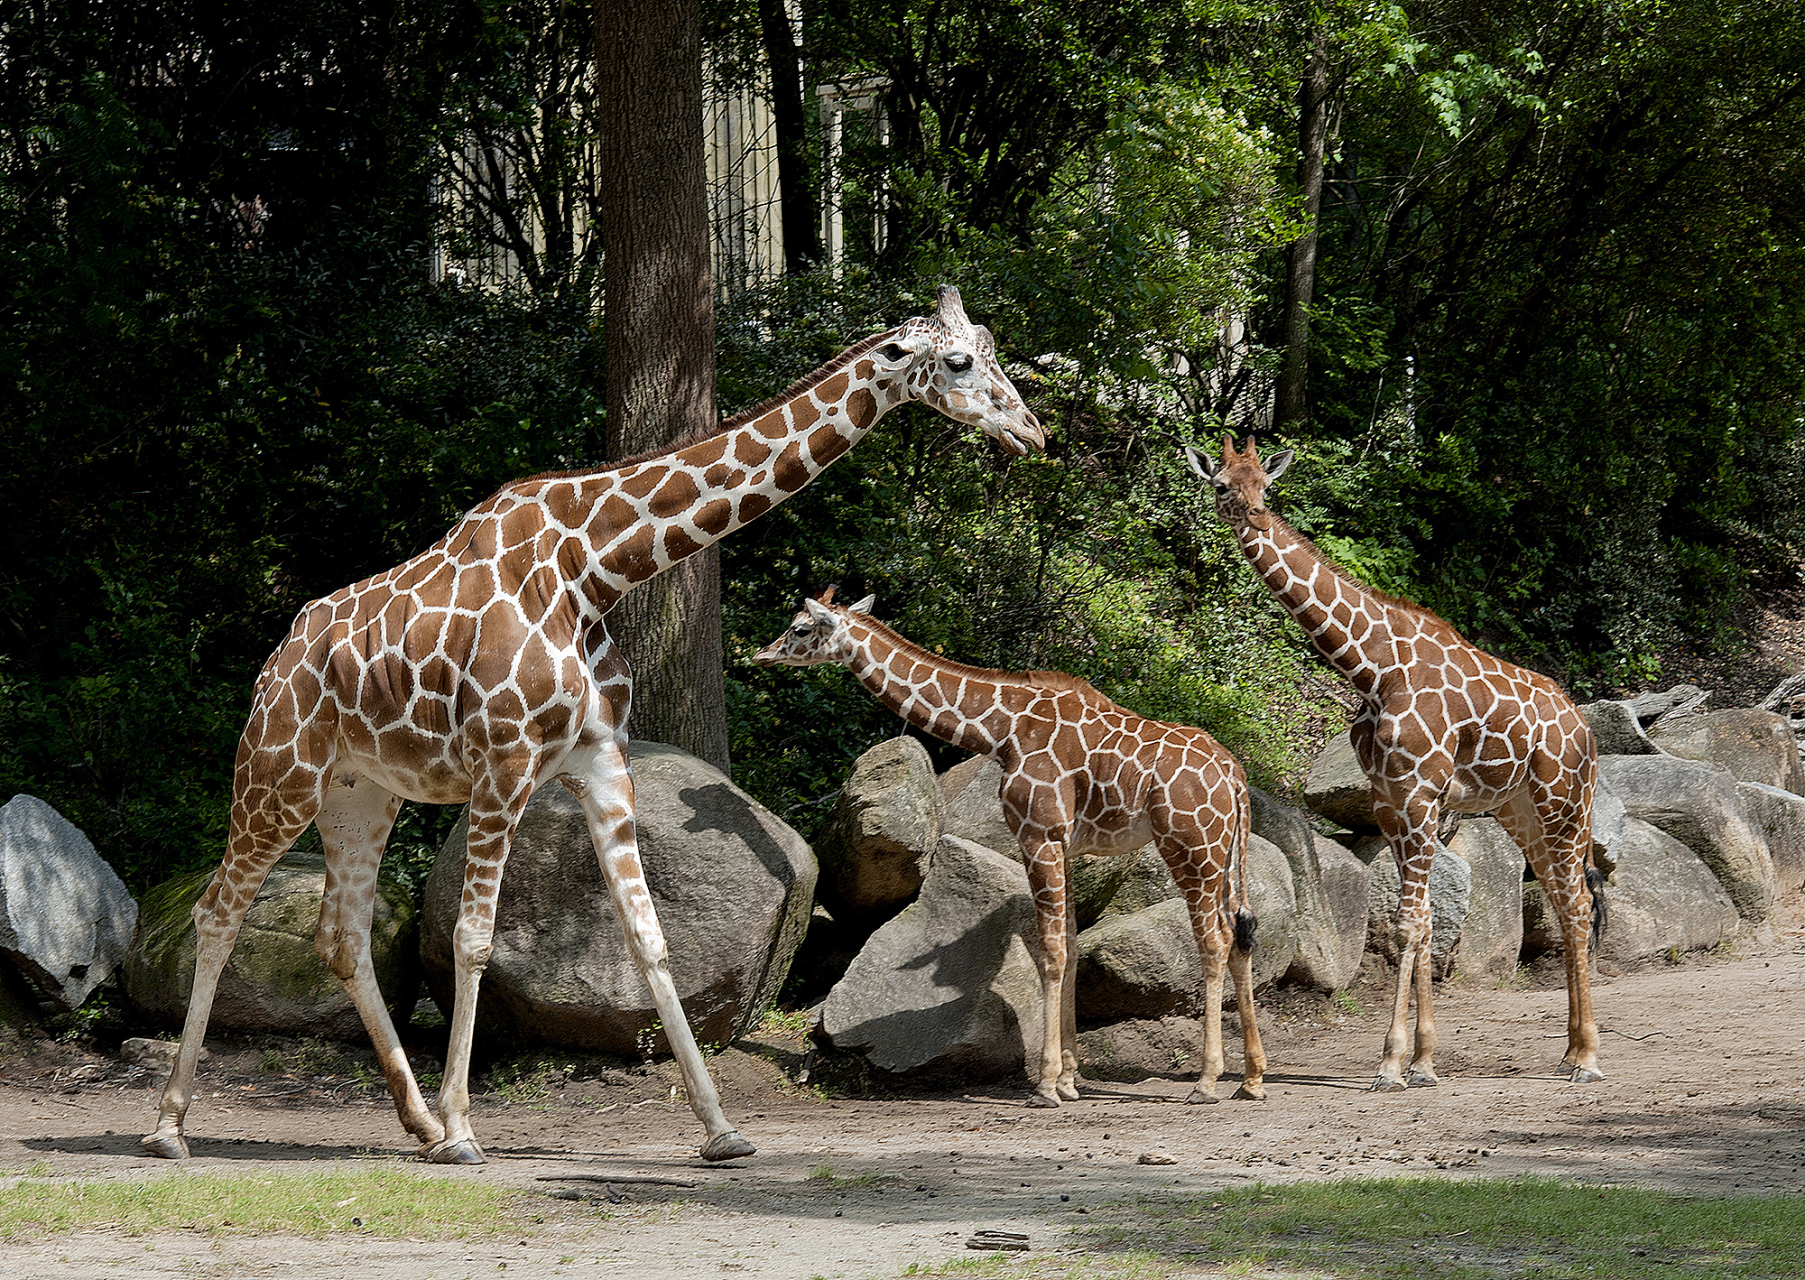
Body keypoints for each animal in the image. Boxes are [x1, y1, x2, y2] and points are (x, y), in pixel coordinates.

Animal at [140, 285, 1046, 1162]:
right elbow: (473, 938)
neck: (596, 570)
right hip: (278, 772)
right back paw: (173, 1126)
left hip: (361, 793)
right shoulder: (503, 763)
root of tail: (279, 656)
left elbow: (649, 938)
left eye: (995, 347)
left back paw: (414, 1124)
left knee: (341, 933)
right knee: (218, 910)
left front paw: (720, 1130)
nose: (1029, 430)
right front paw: (466, 1132)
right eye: (959, 362)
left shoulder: (601, 761)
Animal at [750, 584, 1270, 1104]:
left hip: (1189, 846)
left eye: (800, 628)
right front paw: (1069, 1079)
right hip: (1226, 852)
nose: (762, 654)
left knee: (1215, 939)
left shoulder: (1037, 834)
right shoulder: (1067, 845)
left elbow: (1051, 952)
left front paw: (1046, 1084)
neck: (1001, 730)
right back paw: (1252, 1079)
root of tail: (1234, 775)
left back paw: (1207, 1081)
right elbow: (1071, 947)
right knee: (1241, 932)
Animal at [1191, 436, 1602, 1090]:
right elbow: (1427, 920)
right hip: (1521, 810)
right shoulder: (1390, 800)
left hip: (1563, 801)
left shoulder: (1421, 794)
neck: (1371, 666)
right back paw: (1568, 1051)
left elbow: (1411, 923)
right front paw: (1425, 1061)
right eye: (1222, 485)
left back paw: (1587, 1058)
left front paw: (1390, 1063)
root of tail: (1584, 729)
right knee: (1566, 903)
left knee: (1580, 904)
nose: (1254, 517)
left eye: (1266, 485)